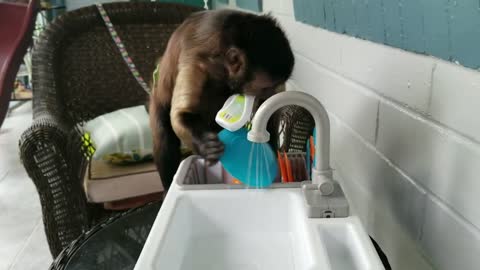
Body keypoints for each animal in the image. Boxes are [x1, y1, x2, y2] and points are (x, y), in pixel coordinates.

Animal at [148, 8, 294, 192]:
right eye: (266, 87)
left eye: (277, 85)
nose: (274, 91)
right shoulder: (197, 64)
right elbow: (180, 114)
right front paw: (206, 146)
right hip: (157, 97)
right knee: (163, 135)